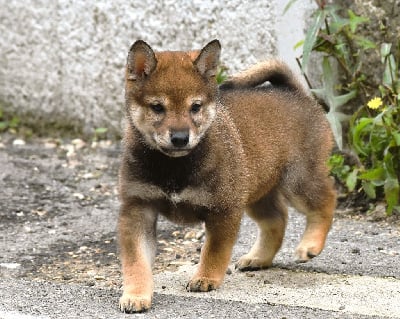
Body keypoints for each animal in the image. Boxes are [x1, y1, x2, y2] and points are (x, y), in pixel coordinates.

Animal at [117, 39, 336, 312]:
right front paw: (136, 294)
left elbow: (214, 250)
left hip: (298, 181)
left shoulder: (224, 208)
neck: (174, 166)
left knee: (326, 201)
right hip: (257, 191)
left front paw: (205, 278)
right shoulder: (138, 209)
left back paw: (310, 245)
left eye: (195, 107)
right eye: (157, 107)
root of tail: (296, 92)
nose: (180, 138)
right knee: (277, 220)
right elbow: (136, 262)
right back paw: (258, 258)